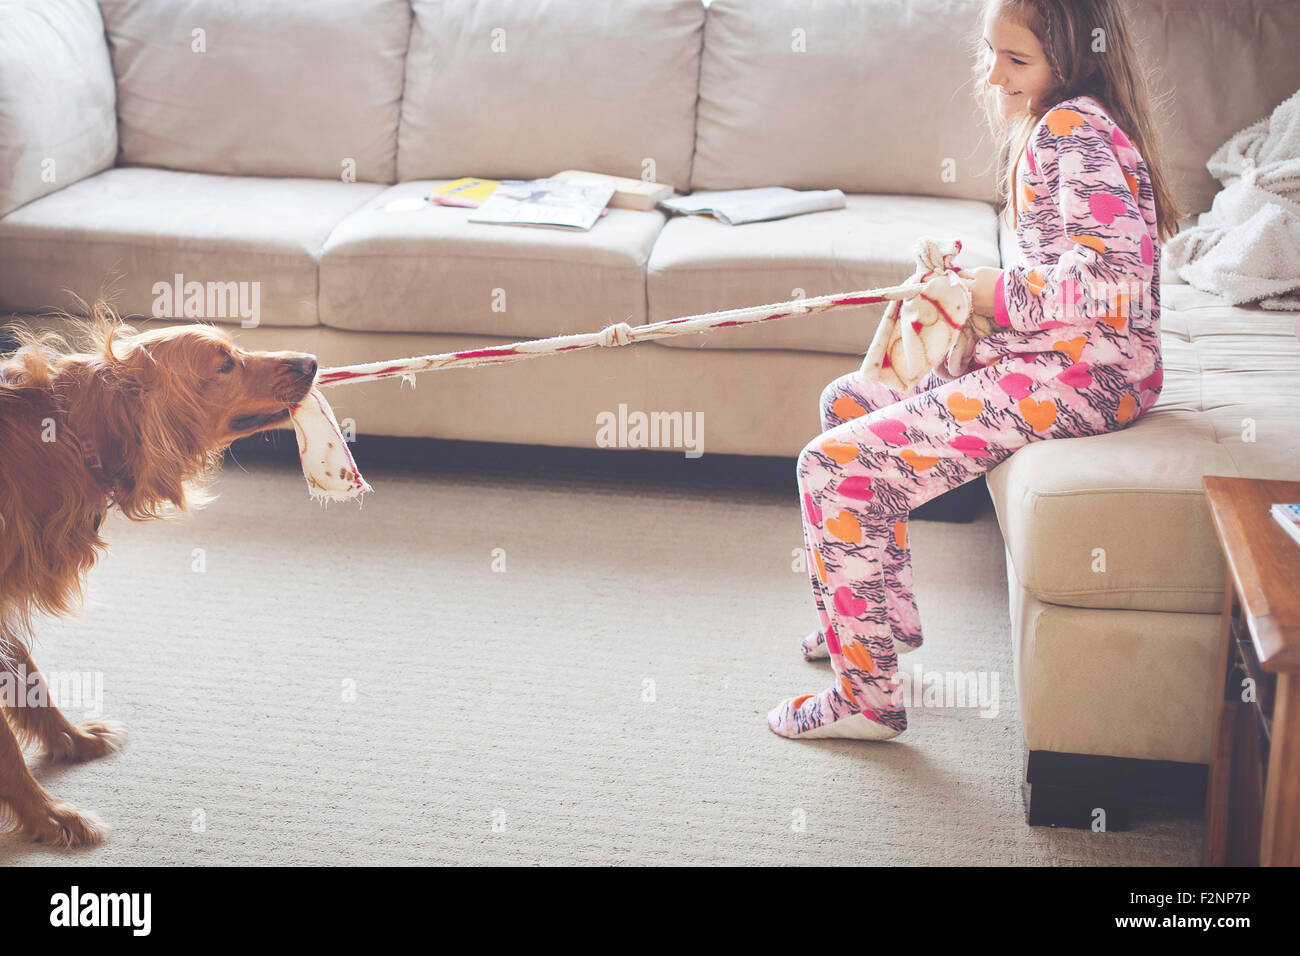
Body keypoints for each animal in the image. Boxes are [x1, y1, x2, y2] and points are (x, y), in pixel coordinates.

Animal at [0, 310, 314, 848]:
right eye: (225, 363)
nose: (312, 360)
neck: (67, 431)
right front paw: (50, 817)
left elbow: (30, 681)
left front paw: (71, 742)